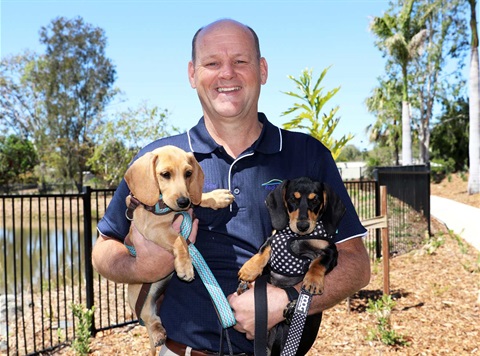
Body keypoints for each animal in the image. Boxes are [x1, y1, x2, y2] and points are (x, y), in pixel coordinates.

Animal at [124, 145, 234, 356]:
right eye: (165, 174)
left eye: (188, 173)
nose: (183, 202)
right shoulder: (154, 229)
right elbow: (180, 240)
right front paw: (185, 267)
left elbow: (198, 198)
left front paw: (215, 197)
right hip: (143, 300)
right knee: (150, 320)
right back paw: (158, 334)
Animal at [238, 177, 346, 354]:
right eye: (292, 199)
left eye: (315, 200)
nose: (303, 226)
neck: (297, 237)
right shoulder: (274, 238)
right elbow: (263, 249)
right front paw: (249, 269)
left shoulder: (330, 251)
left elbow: (317, 264)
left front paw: (313, 281)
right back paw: (244, 287)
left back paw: (293, 306)